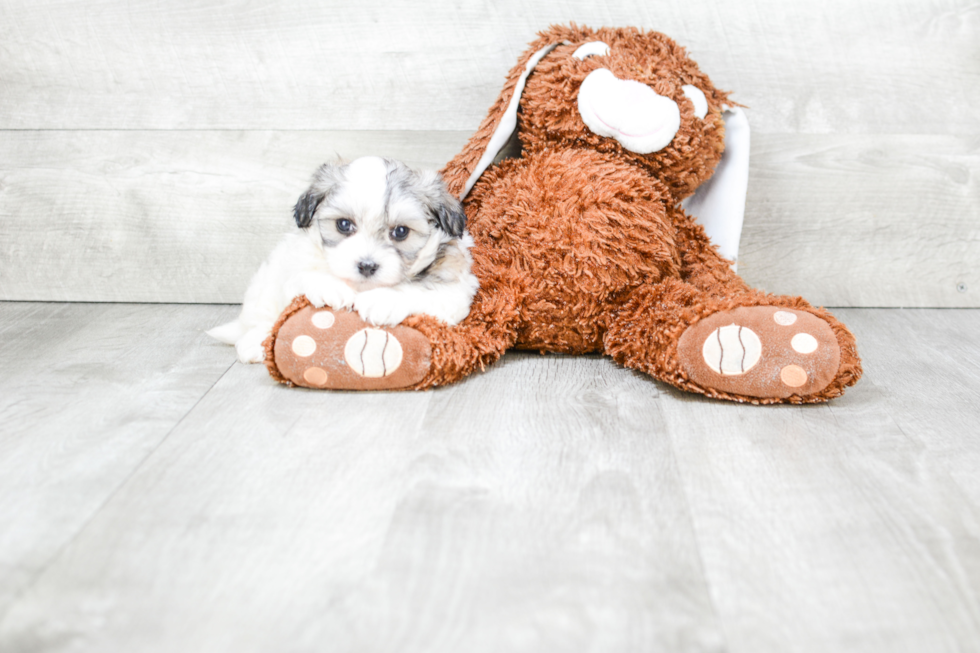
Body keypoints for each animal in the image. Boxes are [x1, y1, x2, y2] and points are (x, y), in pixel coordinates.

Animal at [210, 156, 478, 364]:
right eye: (343, 225)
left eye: (401, 232)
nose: (367, 266)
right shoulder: (294, 260)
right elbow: (302, 274)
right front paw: (330, 286)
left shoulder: (455, 288)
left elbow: (423, 291)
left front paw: (385, 300)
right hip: (264, 286)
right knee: (261, 316)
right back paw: (254, 341)